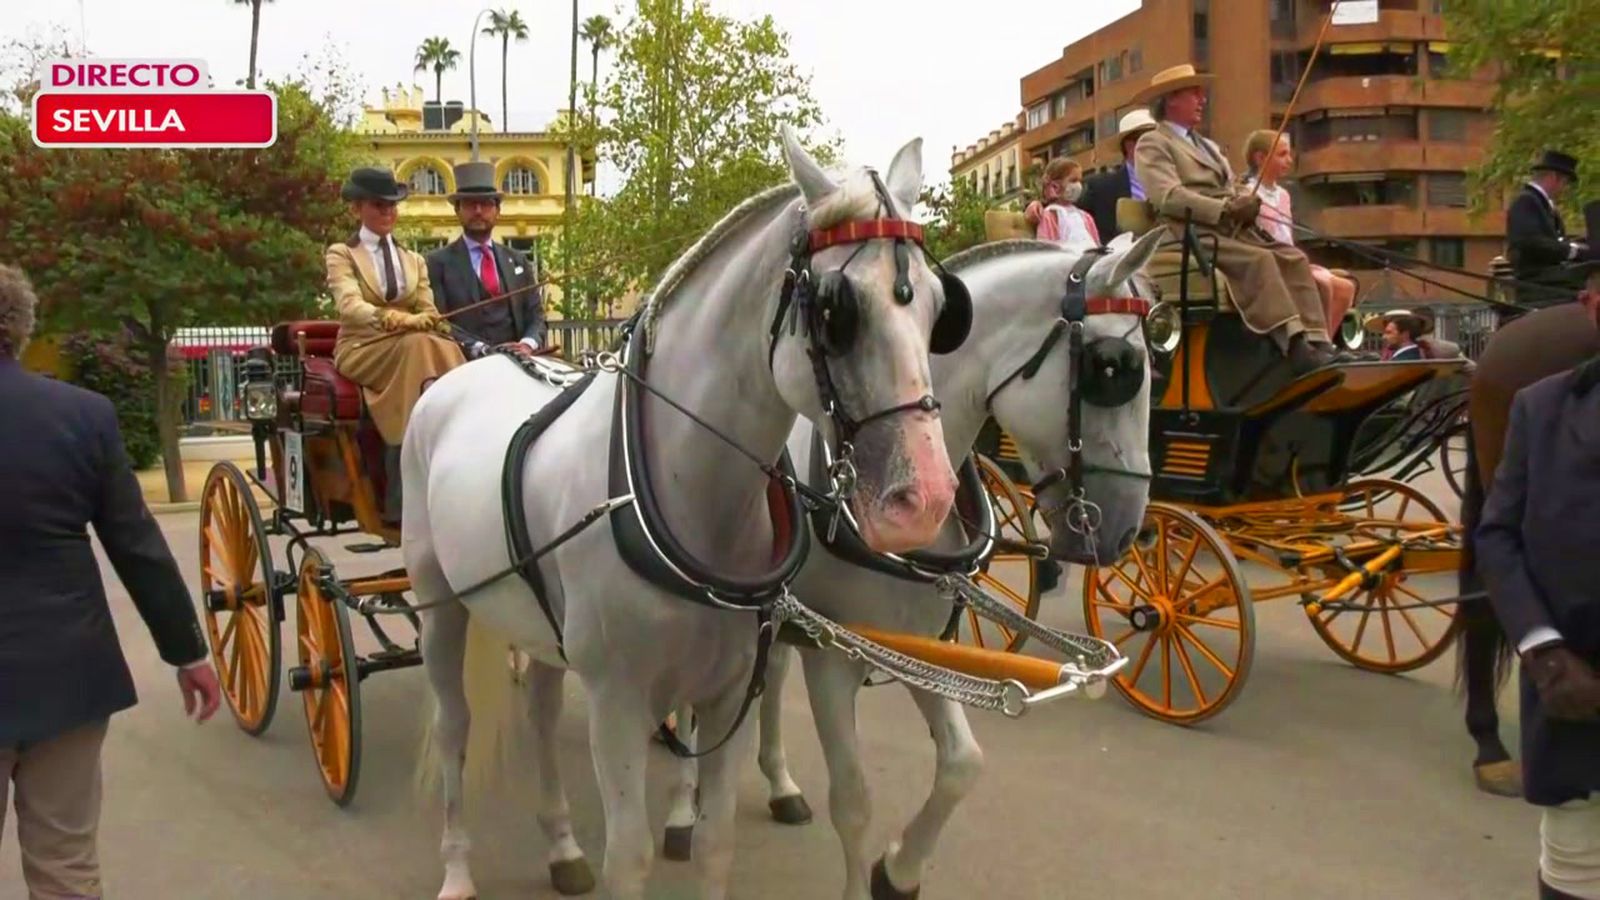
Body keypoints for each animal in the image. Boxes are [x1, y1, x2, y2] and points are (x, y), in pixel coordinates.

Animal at [402, 127, 972, 900]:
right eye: (835, 309)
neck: (682, 496)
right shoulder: (616, 703)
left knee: (542, 713)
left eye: (941, 308)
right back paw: (458, 868)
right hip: (439, 604)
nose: (928, 498)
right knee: (454, 726)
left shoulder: (730, 690)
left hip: (539, 622)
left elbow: (716, 842)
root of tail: (469, 369)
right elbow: (629, 859)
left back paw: (560, 845)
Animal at [662, 231, 1166, 899]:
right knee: (693, 705)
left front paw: (898, 871)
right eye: (1111, 369)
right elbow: (853, 800)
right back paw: (681, 810)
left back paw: (780, 784)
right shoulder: (834, 656)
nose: (1128, 529)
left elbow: (962, 764)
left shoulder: (922, 642)